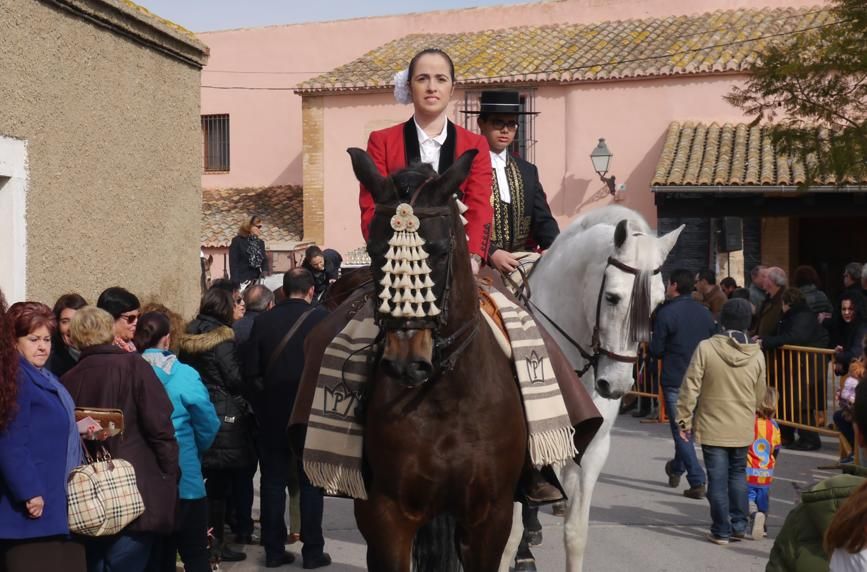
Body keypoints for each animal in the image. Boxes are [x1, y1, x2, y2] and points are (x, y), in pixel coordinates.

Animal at [348, 149, 528, 572]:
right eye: (375, 251)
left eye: (443, 251)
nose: (406, 363)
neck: (446, 397)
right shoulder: (387, 515)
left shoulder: (491, 516)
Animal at [502, 206, 684, 572]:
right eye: (612, 297)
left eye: (657, 303)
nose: (615, 384)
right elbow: (507, 534)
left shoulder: (593, 450)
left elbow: (576, 534)